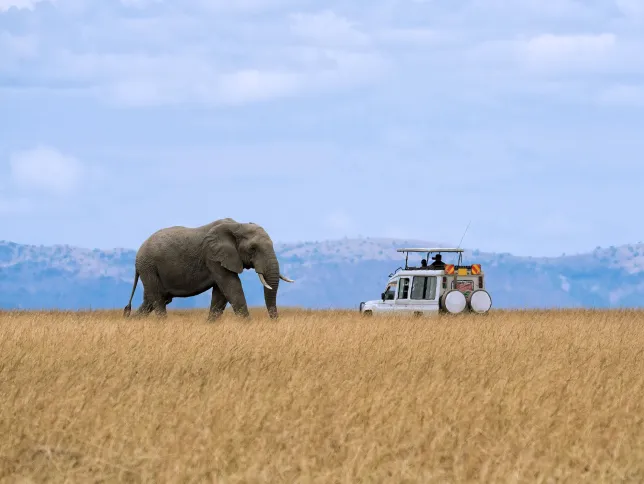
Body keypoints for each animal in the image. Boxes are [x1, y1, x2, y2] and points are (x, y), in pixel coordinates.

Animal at [122, 218, 294, 320]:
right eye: (253, 248)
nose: (274, 322)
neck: (237, 225)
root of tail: (138, 254)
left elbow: (221, 294)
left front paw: (210, 324)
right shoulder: (213, 256)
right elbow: (232, 287)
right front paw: (248, 325)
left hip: (149, 269)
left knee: (151, 300)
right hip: (149, 267)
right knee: (157, 299)